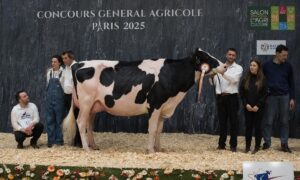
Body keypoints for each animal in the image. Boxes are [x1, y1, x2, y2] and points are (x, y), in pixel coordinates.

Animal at [63, 48, 225, 153]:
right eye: (206, 58)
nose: (224, 66)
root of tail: (78, 64)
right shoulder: (155, 104)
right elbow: (152, 129)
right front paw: (151, 151)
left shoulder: (163, 107)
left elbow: (159, 129)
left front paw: (159, 149)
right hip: (85, 103)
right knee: (81, 122)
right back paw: (86, 148)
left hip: (94, 105)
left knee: (89, 124)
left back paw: (94, 146)